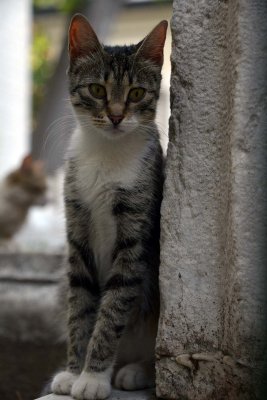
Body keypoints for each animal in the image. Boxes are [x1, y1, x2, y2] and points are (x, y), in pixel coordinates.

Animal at [51, 14, 166, 398]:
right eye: (97, 90)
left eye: (136, 93)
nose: (116, 116)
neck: (106, 153)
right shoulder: (77, 226)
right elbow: (80, 303)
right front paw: (73, 372)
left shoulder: (135, 236)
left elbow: (113, 308)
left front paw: (92, 378)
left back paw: (137, 371)